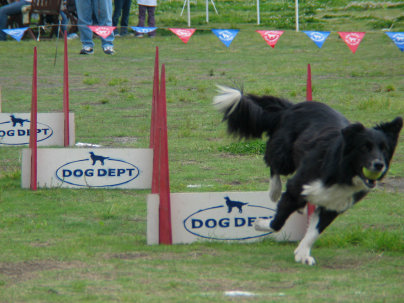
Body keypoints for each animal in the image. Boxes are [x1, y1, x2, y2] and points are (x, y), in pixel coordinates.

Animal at [213, 85, 402, 266]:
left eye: (384, 149)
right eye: (364, 147)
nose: (379, 165)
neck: (342, 172)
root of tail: (292, 107)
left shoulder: (332, 205)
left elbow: (314, 232)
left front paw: (303, 254)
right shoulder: (297, 188)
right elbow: (278, 222)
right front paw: (261, 224)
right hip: (284, 155)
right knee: (273, 163)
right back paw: (274, 191)